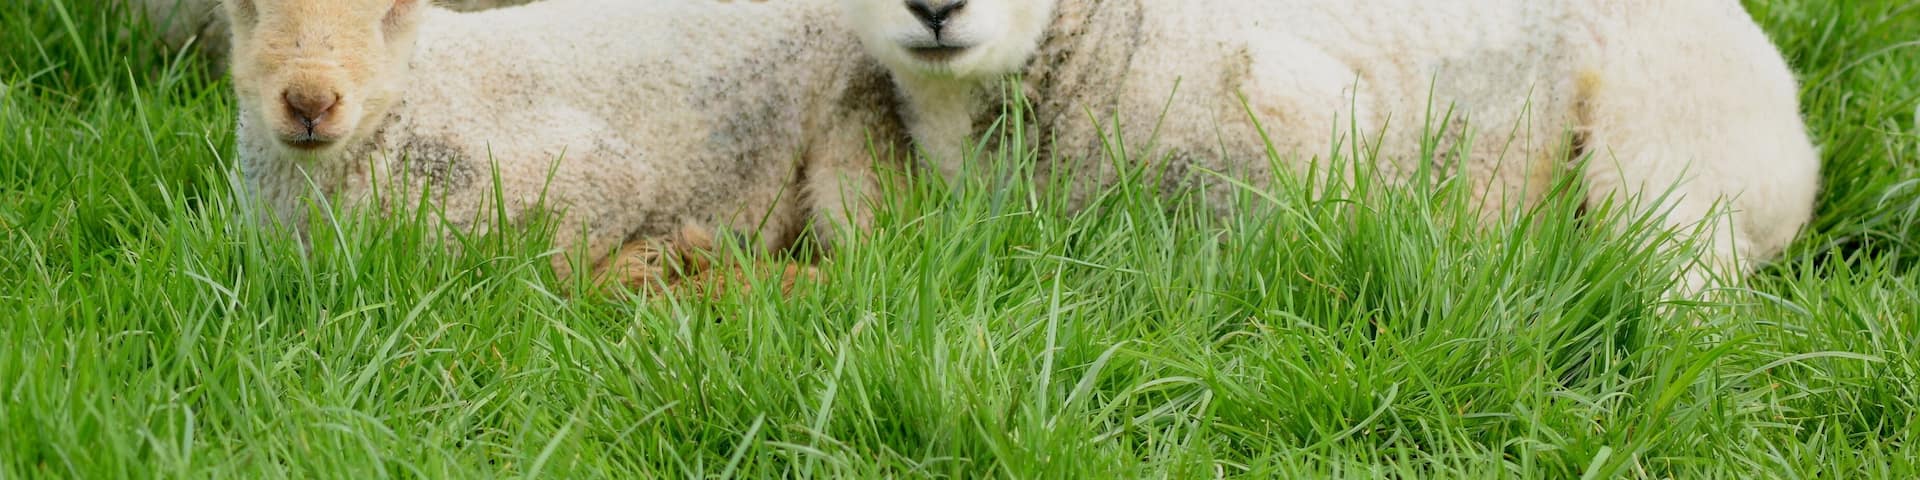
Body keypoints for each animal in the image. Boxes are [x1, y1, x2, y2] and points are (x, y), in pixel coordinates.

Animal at [228, 0, 908, 293]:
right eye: (250, 9)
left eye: (389, 13)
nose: (310, 102)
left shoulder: (595, 171)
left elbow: (543, 274)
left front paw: (650, 265)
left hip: (856, 132)